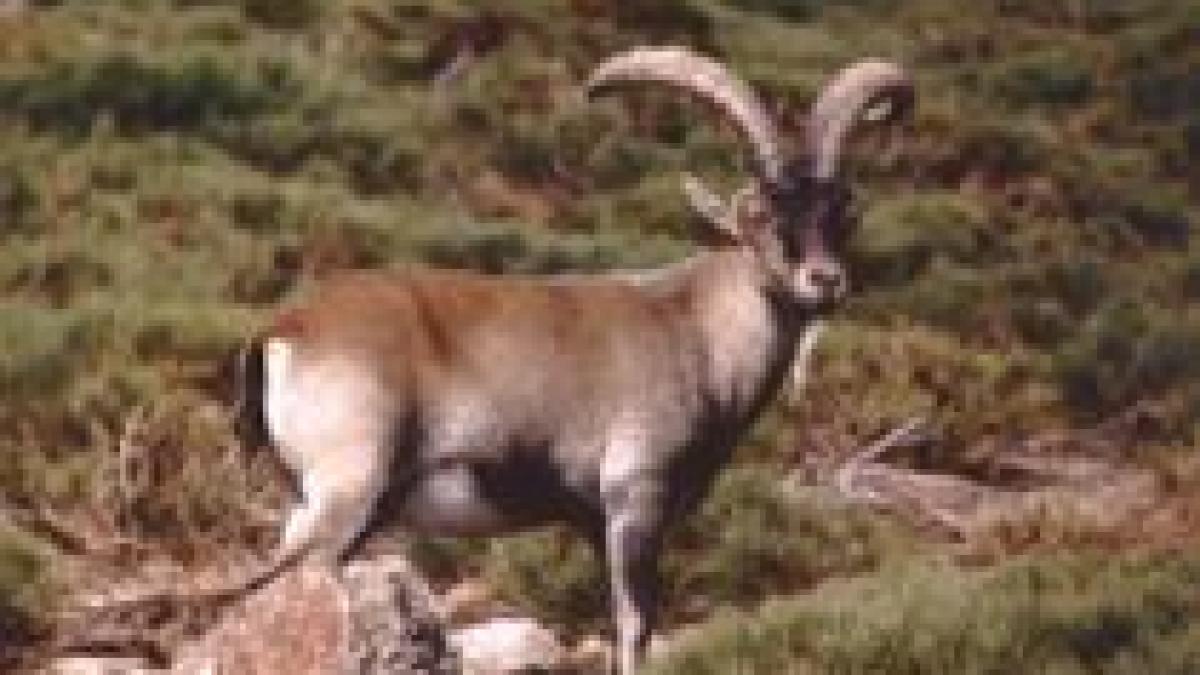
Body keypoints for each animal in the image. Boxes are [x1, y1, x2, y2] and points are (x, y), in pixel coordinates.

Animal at [231, 47, 911, 674]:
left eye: (843, 211)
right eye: (760, 213)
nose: (824, 281)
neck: (695, 329)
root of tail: (284, 332)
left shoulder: (592, 520)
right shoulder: (635, 497)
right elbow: (635, 626)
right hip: (346, 491)